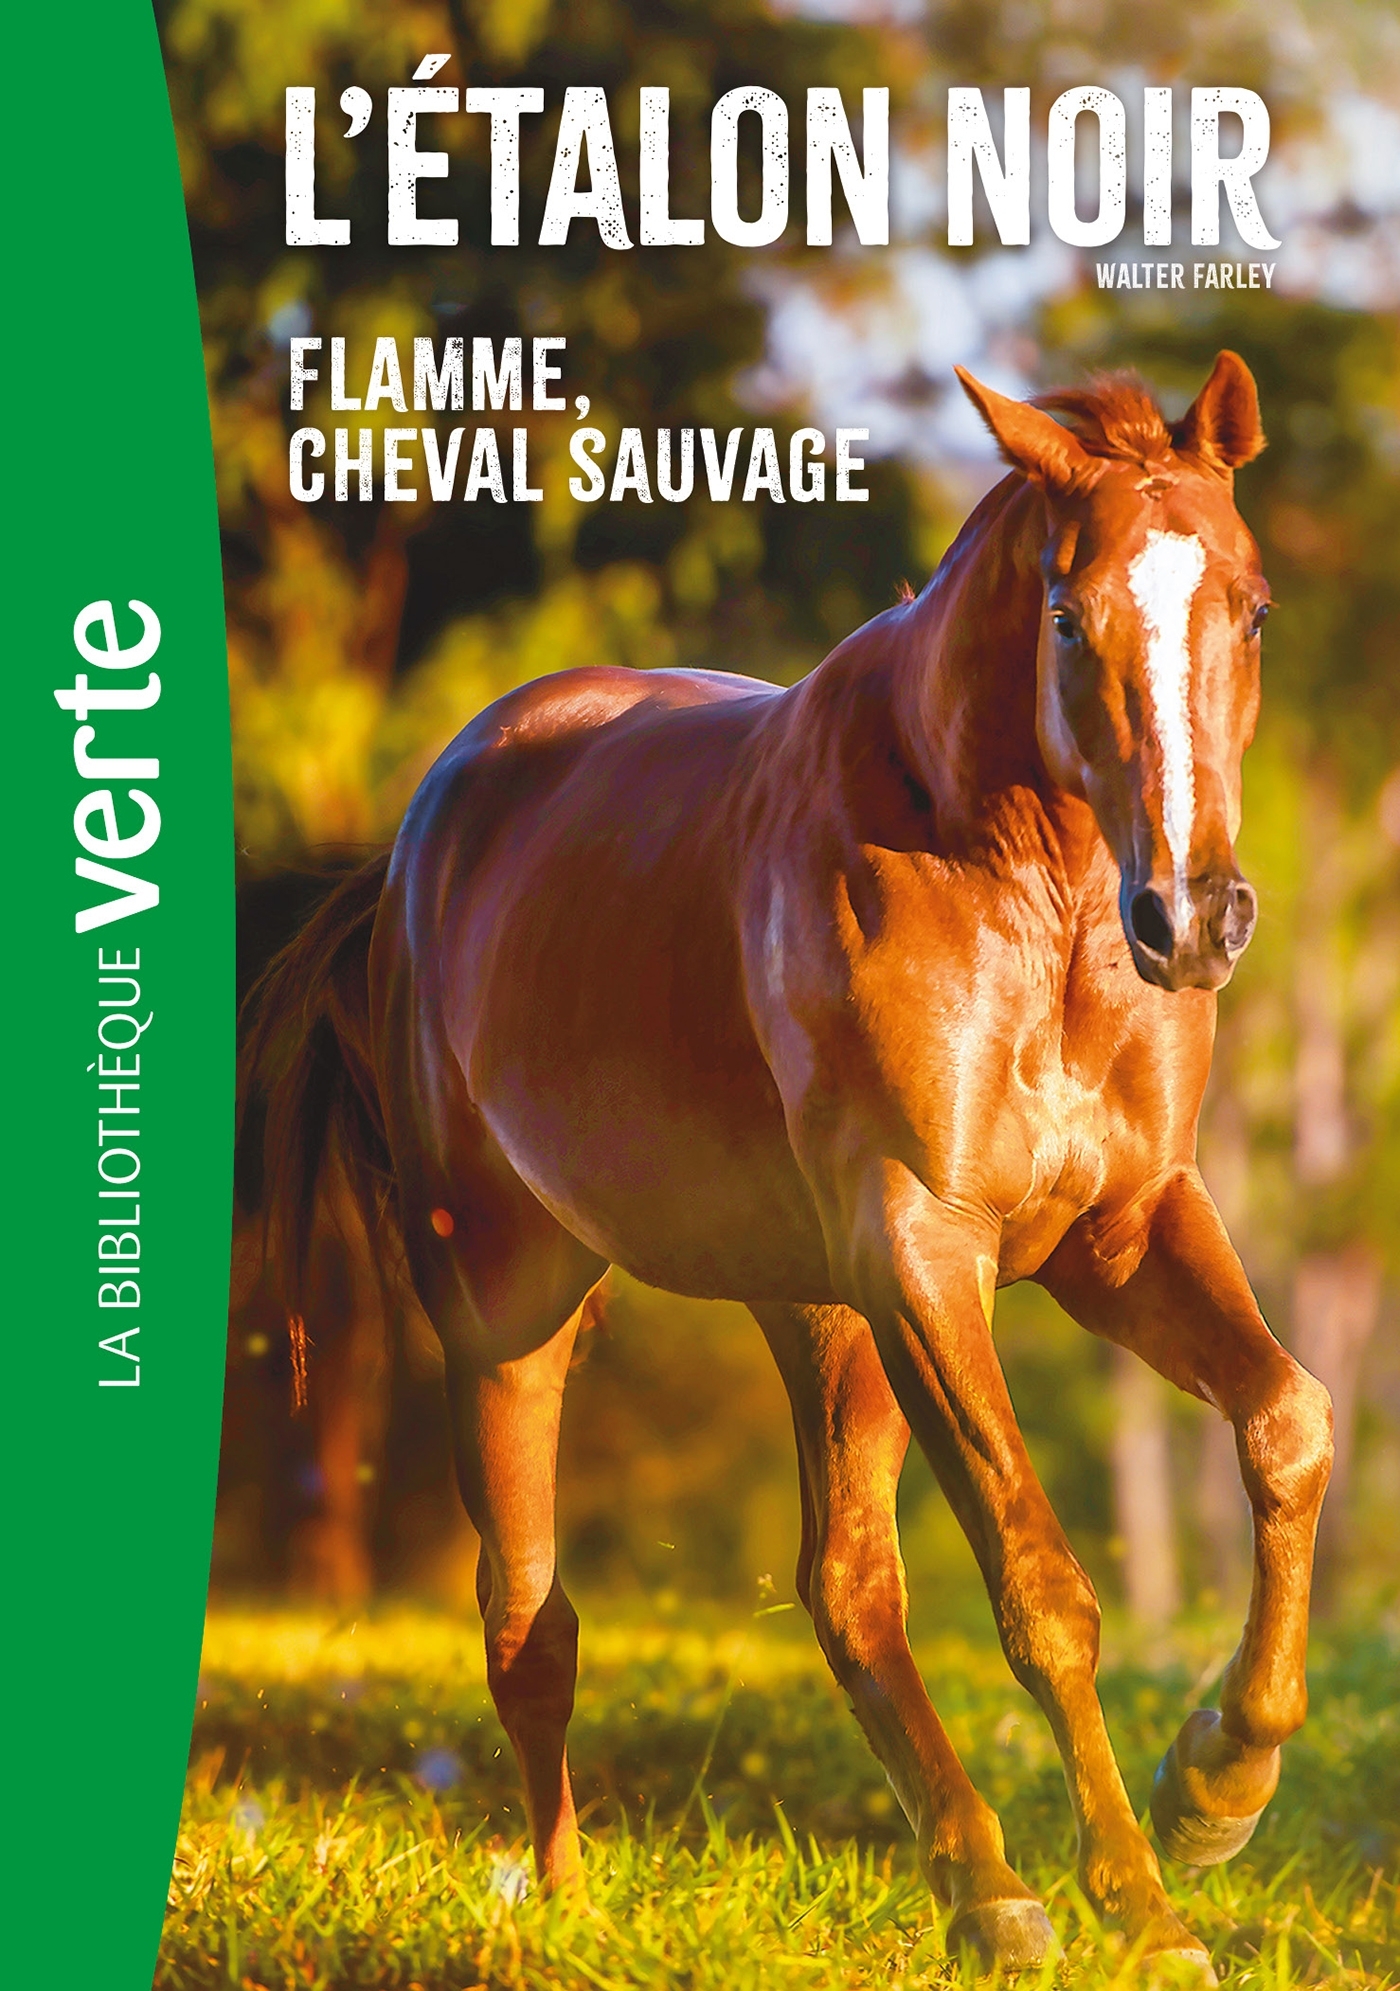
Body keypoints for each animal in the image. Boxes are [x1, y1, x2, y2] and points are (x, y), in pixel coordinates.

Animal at [244, 352, 1332, 1979]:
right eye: (1069, 615)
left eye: (1251, 606)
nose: (1192, 917)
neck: (1029, 901)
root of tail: (417, 841)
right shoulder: (927, 1251)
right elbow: (1041, 1584)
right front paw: (1143, 1909)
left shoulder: (1120, 1230)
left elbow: (1287, 1424)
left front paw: (1214, 1784)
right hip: (508, 1308)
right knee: (528, 1615)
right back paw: (569, 1903)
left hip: (819, 1312)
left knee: (845, 1587)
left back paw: (984, 1885)